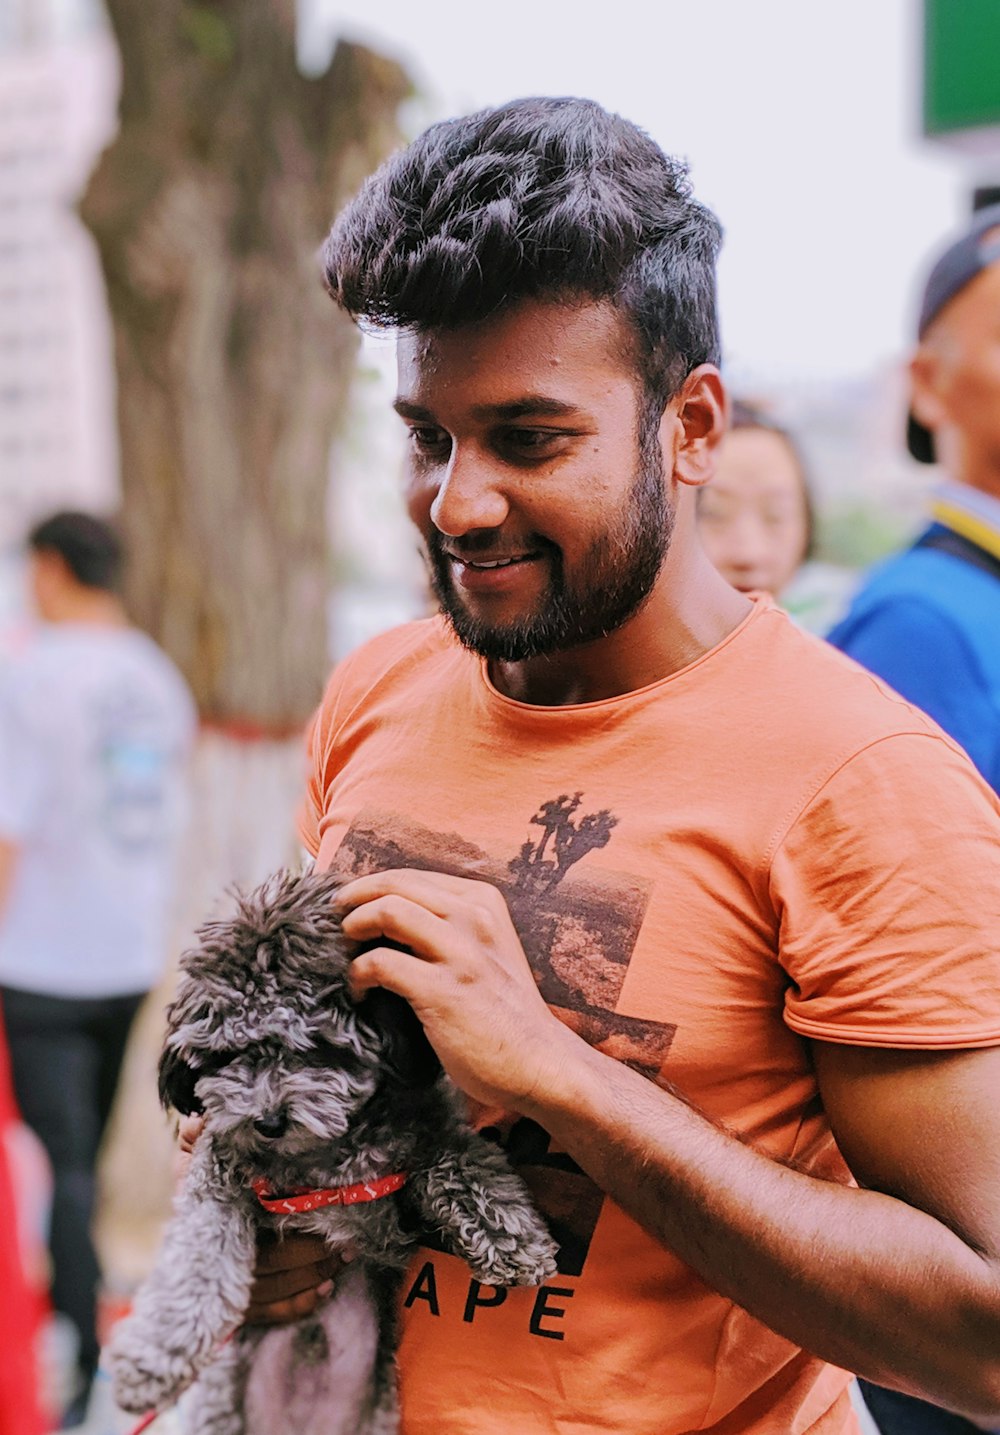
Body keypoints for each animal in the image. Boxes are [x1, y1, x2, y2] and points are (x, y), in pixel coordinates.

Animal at [111, 866, 562, 1429]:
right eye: (229, 1054)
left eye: (317, 1047)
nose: (268, 1121)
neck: (321, 1159)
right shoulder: (219, 1174)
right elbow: (197, 1257)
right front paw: (154, 1357)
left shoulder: (423, 1131)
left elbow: (465, 1161)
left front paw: (514, 1241)